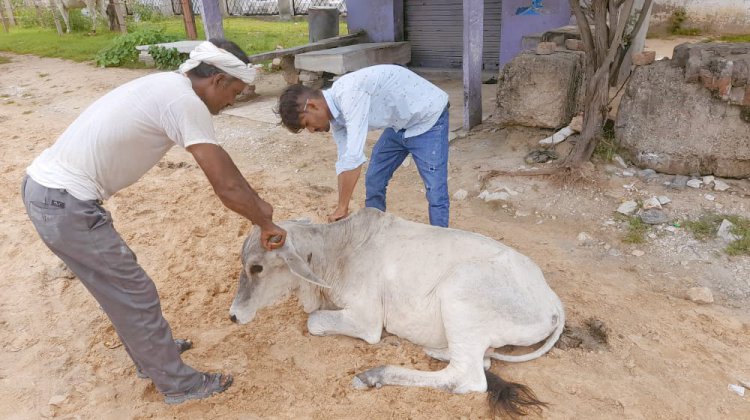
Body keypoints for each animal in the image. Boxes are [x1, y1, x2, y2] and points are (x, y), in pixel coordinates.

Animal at [229, 208, 564, 416]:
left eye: (257, 267)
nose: (233, 315)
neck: (336, 253)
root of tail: (553, 300)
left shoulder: (366, 320)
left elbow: (313, 321)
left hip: (460, 292)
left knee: (466, 376)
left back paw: (374, 374)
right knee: (482, 359)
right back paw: (436, 349)